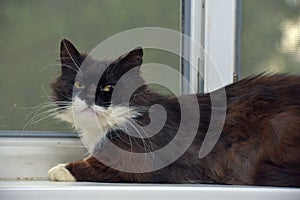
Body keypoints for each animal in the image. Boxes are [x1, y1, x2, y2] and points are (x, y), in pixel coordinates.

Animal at [48, 39, 300, 188]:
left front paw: (59, 170)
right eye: (78, 85)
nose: (88, 99)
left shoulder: (140, 159)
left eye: (108, 88)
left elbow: (97, 165)